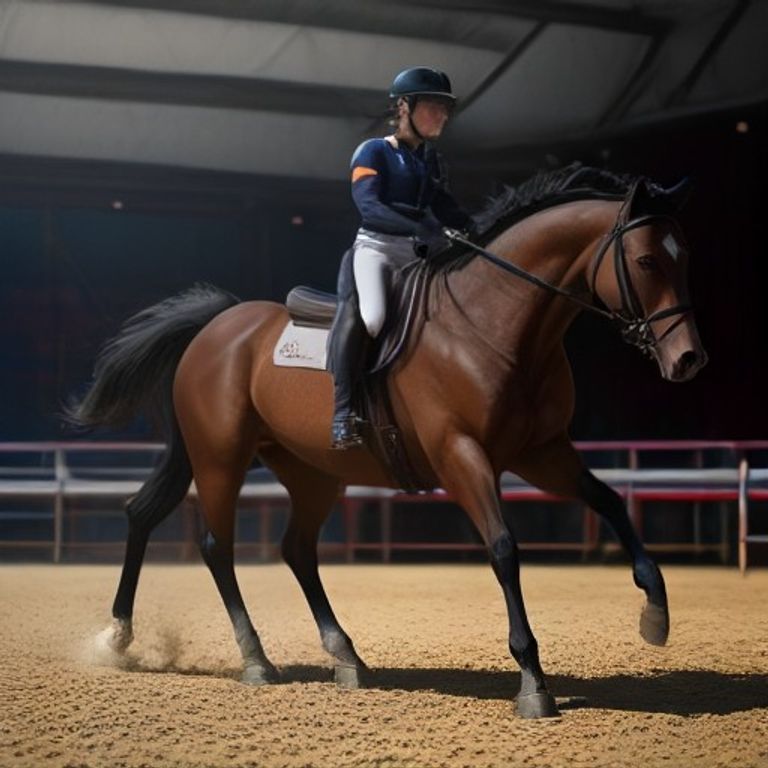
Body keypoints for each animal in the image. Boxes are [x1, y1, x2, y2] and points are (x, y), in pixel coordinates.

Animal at [69, 166, 707, 719]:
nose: (688, 360)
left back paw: (340, 656)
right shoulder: (462, 455)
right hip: (221, 458)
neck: (495, 323)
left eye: (684, 256)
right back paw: (249, 658)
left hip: (310, 472)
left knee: (283, 547)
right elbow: (504, 549)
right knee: (214, 546)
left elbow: (610, 500)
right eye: (646, 259)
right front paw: (533, 682)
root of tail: (219, 323)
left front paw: (656, 613)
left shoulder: (542, 452)